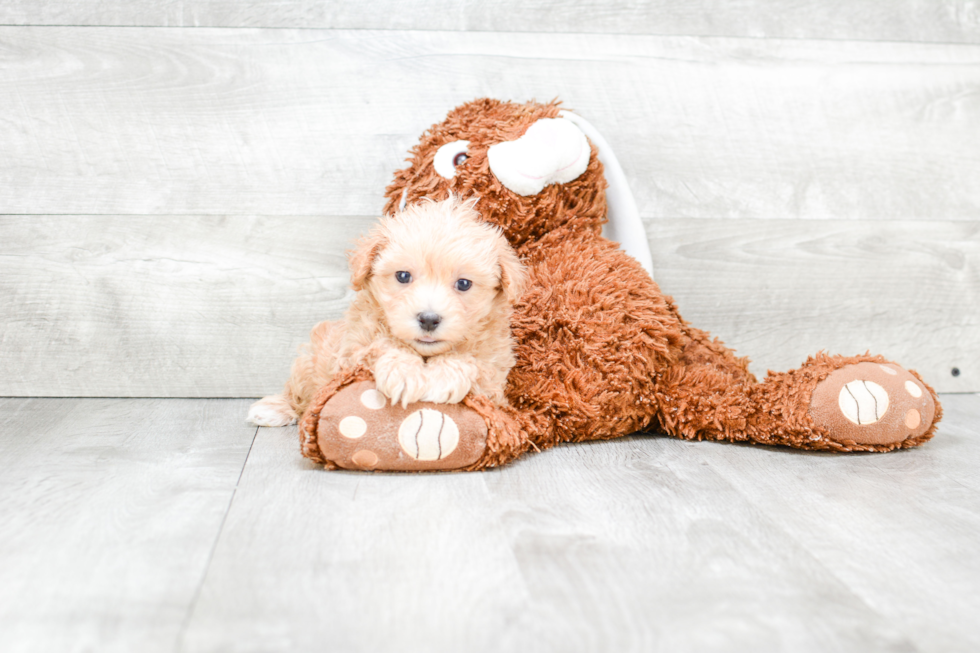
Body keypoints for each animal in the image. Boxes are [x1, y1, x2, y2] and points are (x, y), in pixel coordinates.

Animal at [247, 196, 520, 426]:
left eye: (463, 284)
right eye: (403, 276)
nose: (428, 319)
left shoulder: (494, 377)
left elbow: (473, 361)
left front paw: (444, 377)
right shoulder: (351, 352)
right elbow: (382, 344)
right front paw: (405, 373)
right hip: (311, 362)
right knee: (300, 392)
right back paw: (275, 408)